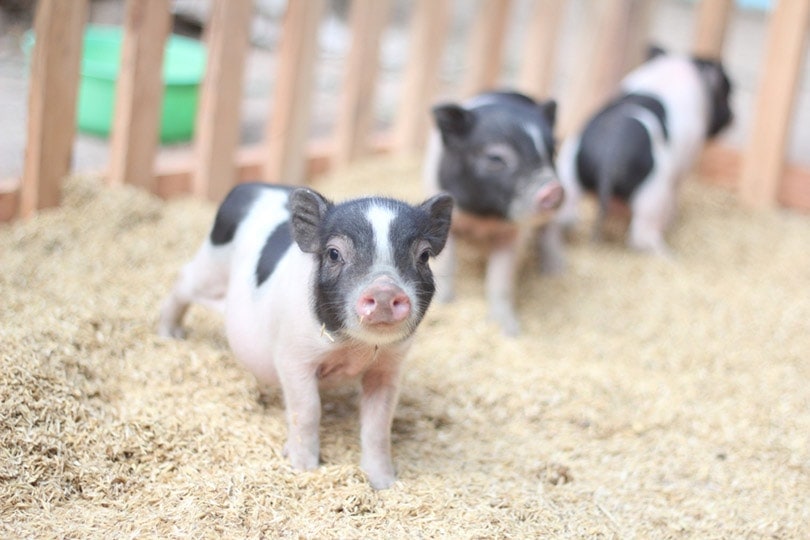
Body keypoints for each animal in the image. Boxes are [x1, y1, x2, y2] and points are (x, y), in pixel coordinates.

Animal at [158, 183, 453, 489]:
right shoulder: (293, 356)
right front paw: (303, 468)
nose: (385, 289)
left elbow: (378, 423)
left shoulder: (388, 366)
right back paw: (169, 335)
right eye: (334, 253)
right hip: (211, 264)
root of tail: (251, 186)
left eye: (424, 255)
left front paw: (383, 483)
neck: (352, 348)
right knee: (182, 280)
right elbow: (308, 408)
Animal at [424, 90, 564, 336]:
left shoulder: (513, 235)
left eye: (552, 152)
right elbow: (446, 264)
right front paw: (444, 304)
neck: (484, 217)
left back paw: (555, 271)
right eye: (496, 158)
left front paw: (509, 331)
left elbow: (501, 280)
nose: (554, 190)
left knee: (550, 230)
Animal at [541, 46, 733, 268]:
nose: (732, 116)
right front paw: (673, 219)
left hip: (569, 171)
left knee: (564, 218)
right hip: (653, 192)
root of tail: (609, 154)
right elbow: (676, 194)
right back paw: (669, 255)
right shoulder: (687, 160)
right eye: (727, 93)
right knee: (641, 237)